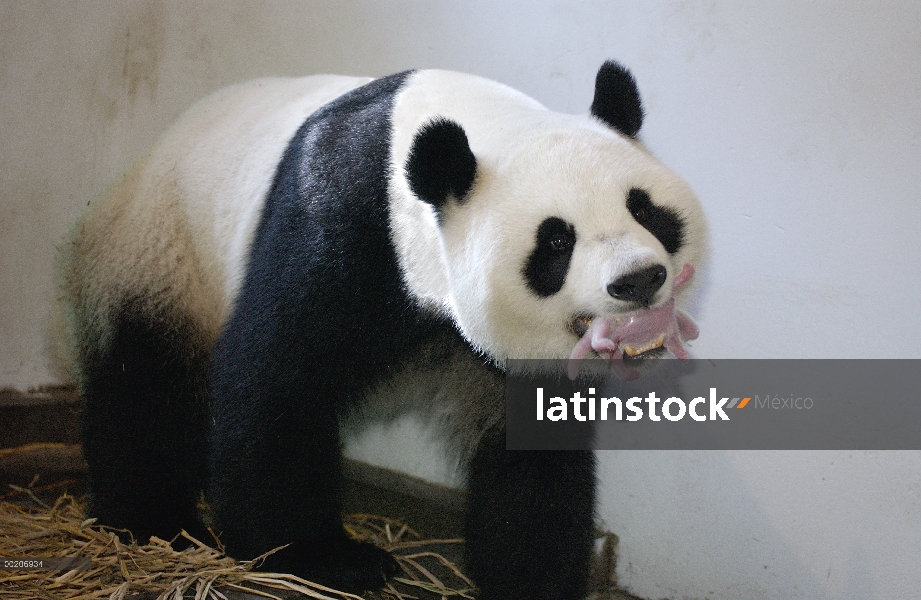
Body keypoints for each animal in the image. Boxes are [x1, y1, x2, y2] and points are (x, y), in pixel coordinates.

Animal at [57, 62, 704, 600]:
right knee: (147, 389)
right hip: (157, 255)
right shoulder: (343, 226)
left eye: (644, 209)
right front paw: (320, 557)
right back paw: (153, 522)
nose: (638, 280)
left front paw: (533, 576)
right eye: (555, 242)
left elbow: (533, 452)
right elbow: (273, 379)